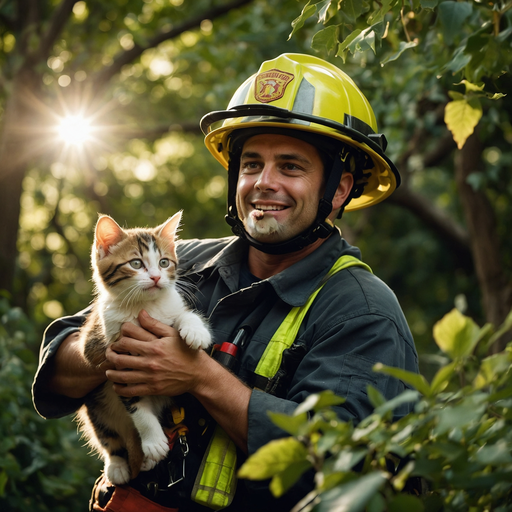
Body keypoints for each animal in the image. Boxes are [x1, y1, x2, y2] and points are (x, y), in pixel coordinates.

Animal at [74, 210, 210, 486]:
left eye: (164, 262)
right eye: (136, 264)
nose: (157, 277)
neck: (144, 306)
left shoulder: (170, 309)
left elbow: (184, 315)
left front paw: (196, 331)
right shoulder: (113, 351)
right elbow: (135, 404)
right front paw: (153, 441)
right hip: (95, 407)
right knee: (106, 433)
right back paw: (118, 463)